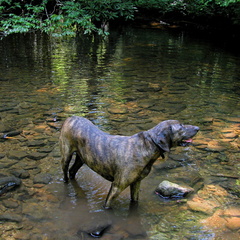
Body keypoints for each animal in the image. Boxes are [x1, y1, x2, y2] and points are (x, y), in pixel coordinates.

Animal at [59, 116, 199, 208]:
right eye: (181, 126)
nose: (197, 128)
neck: (148, 145)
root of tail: (70, 117)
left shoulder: (136, 183)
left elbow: (134, 201)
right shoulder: (117, 186)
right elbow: (107, 205)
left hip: (82, 159)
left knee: (72, 171)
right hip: (66, 155)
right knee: (66, 172)